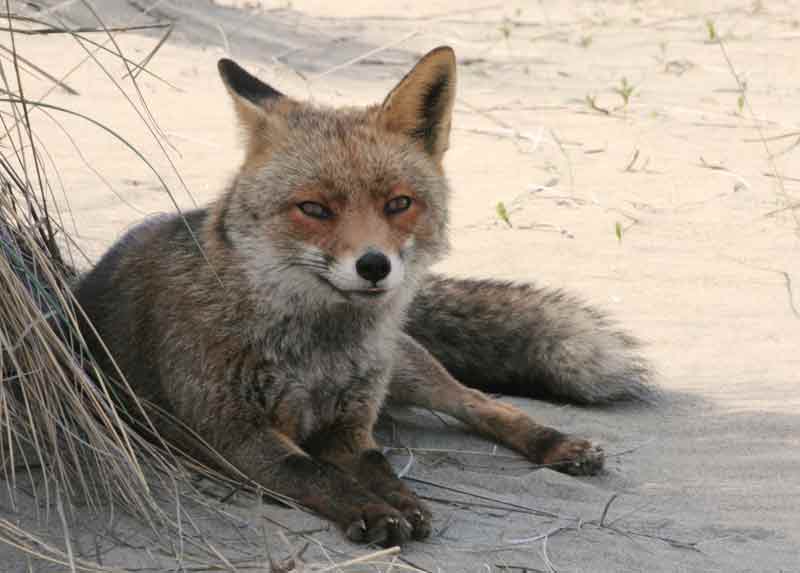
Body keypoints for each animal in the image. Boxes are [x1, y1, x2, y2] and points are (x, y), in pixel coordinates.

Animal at [72, 47, 652, 548]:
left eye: (398, 204)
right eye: (314, 209)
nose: (374, 265)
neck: (320, 353)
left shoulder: (351, 425)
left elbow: (380, 466)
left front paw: (402, 503)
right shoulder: (231, 431)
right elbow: (313, 473)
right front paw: (374, 511)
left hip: (407, 369)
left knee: (482, 403)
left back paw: (557, 444)